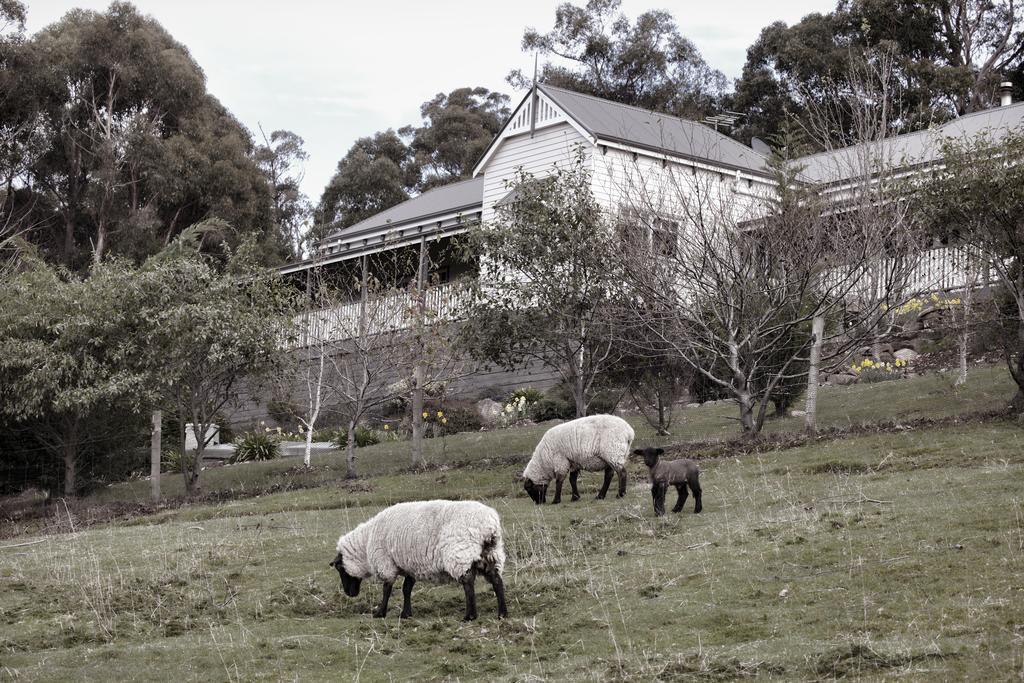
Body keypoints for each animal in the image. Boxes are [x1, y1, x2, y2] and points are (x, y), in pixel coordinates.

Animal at [329, 499, 505, 622]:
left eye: (339, 568)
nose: (349, 594)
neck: (365, 544)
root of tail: (489, 526)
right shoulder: (410, 566)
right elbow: (406, 589)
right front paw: (406, 614)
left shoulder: (385, 563)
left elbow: (387, 589)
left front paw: (380, 613)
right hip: (491, 554)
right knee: (496, 580)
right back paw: (502, 613)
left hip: (461, 553)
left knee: (468, 583)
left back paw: (470, 616)